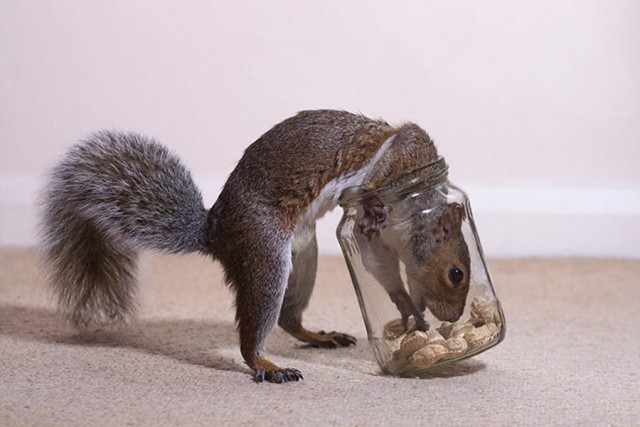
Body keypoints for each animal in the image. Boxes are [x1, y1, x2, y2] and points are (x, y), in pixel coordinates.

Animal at [40, 109, 470, 383]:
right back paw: (268, 365)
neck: (415, 201)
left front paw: (408, 309)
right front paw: (377, 210)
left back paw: (318, 337)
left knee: (287, 318)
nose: (452, 317)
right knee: (256, 327)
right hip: (264, 252)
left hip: (303, 259)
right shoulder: (401, 153)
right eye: (456, 274)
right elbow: (381, 176)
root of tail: (216, 231)